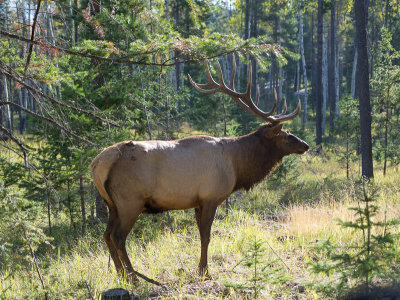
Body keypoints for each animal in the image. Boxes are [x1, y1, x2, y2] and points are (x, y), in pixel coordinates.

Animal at [90, 56, 310, 282]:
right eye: (285, 134)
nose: (305, 145)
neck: (237, 165)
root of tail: (97, 164)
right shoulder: (210, 197)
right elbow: (206, 235)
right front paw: (204, 271)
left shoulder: (196, 202)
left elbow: (200, 234)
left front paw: (200, 268)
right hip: (130, 201)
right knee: (118, 236)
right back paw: (133, 276)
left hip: (112, 204)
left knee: (106, 235)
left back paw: (120, 274)